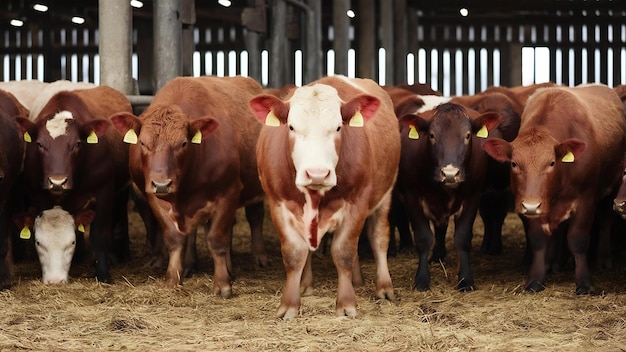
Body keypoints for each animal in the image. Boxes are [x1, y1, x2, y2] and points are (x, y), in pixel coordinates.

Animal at [14, 86, 132, 284]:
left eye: (77, 144)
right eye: (40, 144)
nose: (58, 181)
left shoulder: (104, 191)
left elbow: (100, 234)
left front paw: (103, 274)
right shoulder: (39, 195)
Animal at [109, 75, 266, 296]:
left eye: (183, 143)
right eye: (142, 143)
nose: (162, 184)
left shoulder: (228, 193)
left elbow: (217, 239)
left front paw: (222, 284)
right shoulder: (155, 199)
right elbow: (175, 238)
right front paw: (174, 278)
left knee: (255, 217)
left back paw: (258, 257)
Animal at [246, 75, 398, 320]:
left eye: (338, 127)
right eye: (291, 126)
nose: (317, 173)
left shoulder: (357, 203)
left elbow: (344, 251)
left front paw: (346, 304)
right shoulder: (277, 203)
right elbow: (294, 254)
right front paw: (289, 305)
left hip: (385, 195)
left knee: (379, 237)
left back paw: (383, 286)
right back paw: (310, 283)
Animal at [398, 100, 500, 290]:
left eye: (467, 135)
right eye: (431, 135)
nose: (450, 173)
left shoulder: (472, 196)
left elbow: (462, 237)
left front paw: (466, 280)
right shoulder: (412, 196)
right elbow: (423, 238)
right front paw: (422, 279)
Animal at [480, 83, 620, 294]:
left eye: (552, 163)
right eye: (514, 164)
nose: (531, 206)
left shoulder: (587, 198)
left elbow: (578, 239)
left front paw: (584, 283)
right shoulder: (530, 202)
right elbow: (538, 240)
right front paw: (536, 279)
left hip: (612, 188)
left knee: (605, 219)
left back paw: (603, 260)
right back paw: (552, 264)